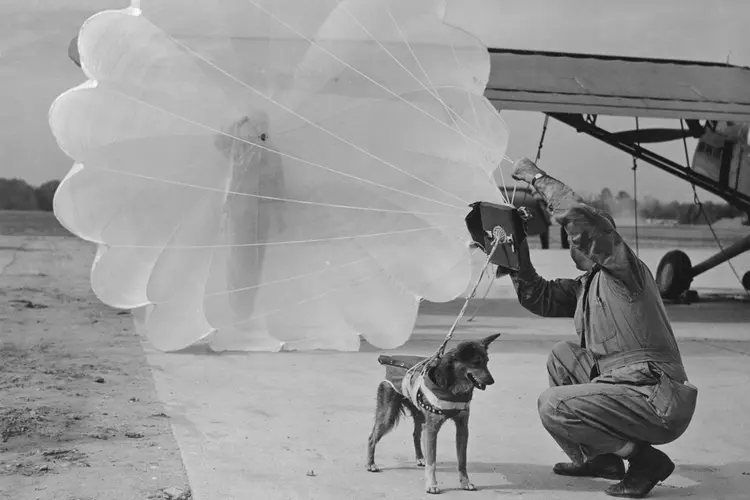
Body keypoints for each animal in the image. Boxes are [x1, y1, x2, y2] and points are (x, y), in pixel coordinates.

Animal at [368, 334, 502, 494]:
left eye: (487, 362)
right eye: (476, 363)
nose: (492, 381)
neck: (453, 387)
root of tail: (390, 359)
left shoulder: (462, 428)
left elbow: (462, 460)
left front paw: (465, 482)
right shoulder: (432, 428)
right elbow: (432, 461)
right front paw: (432, 485)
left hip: (420, 416)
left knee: (415, 435)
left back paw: (420, 458)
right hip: (388, 416)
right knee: (372, 438)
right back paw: (370, 464)